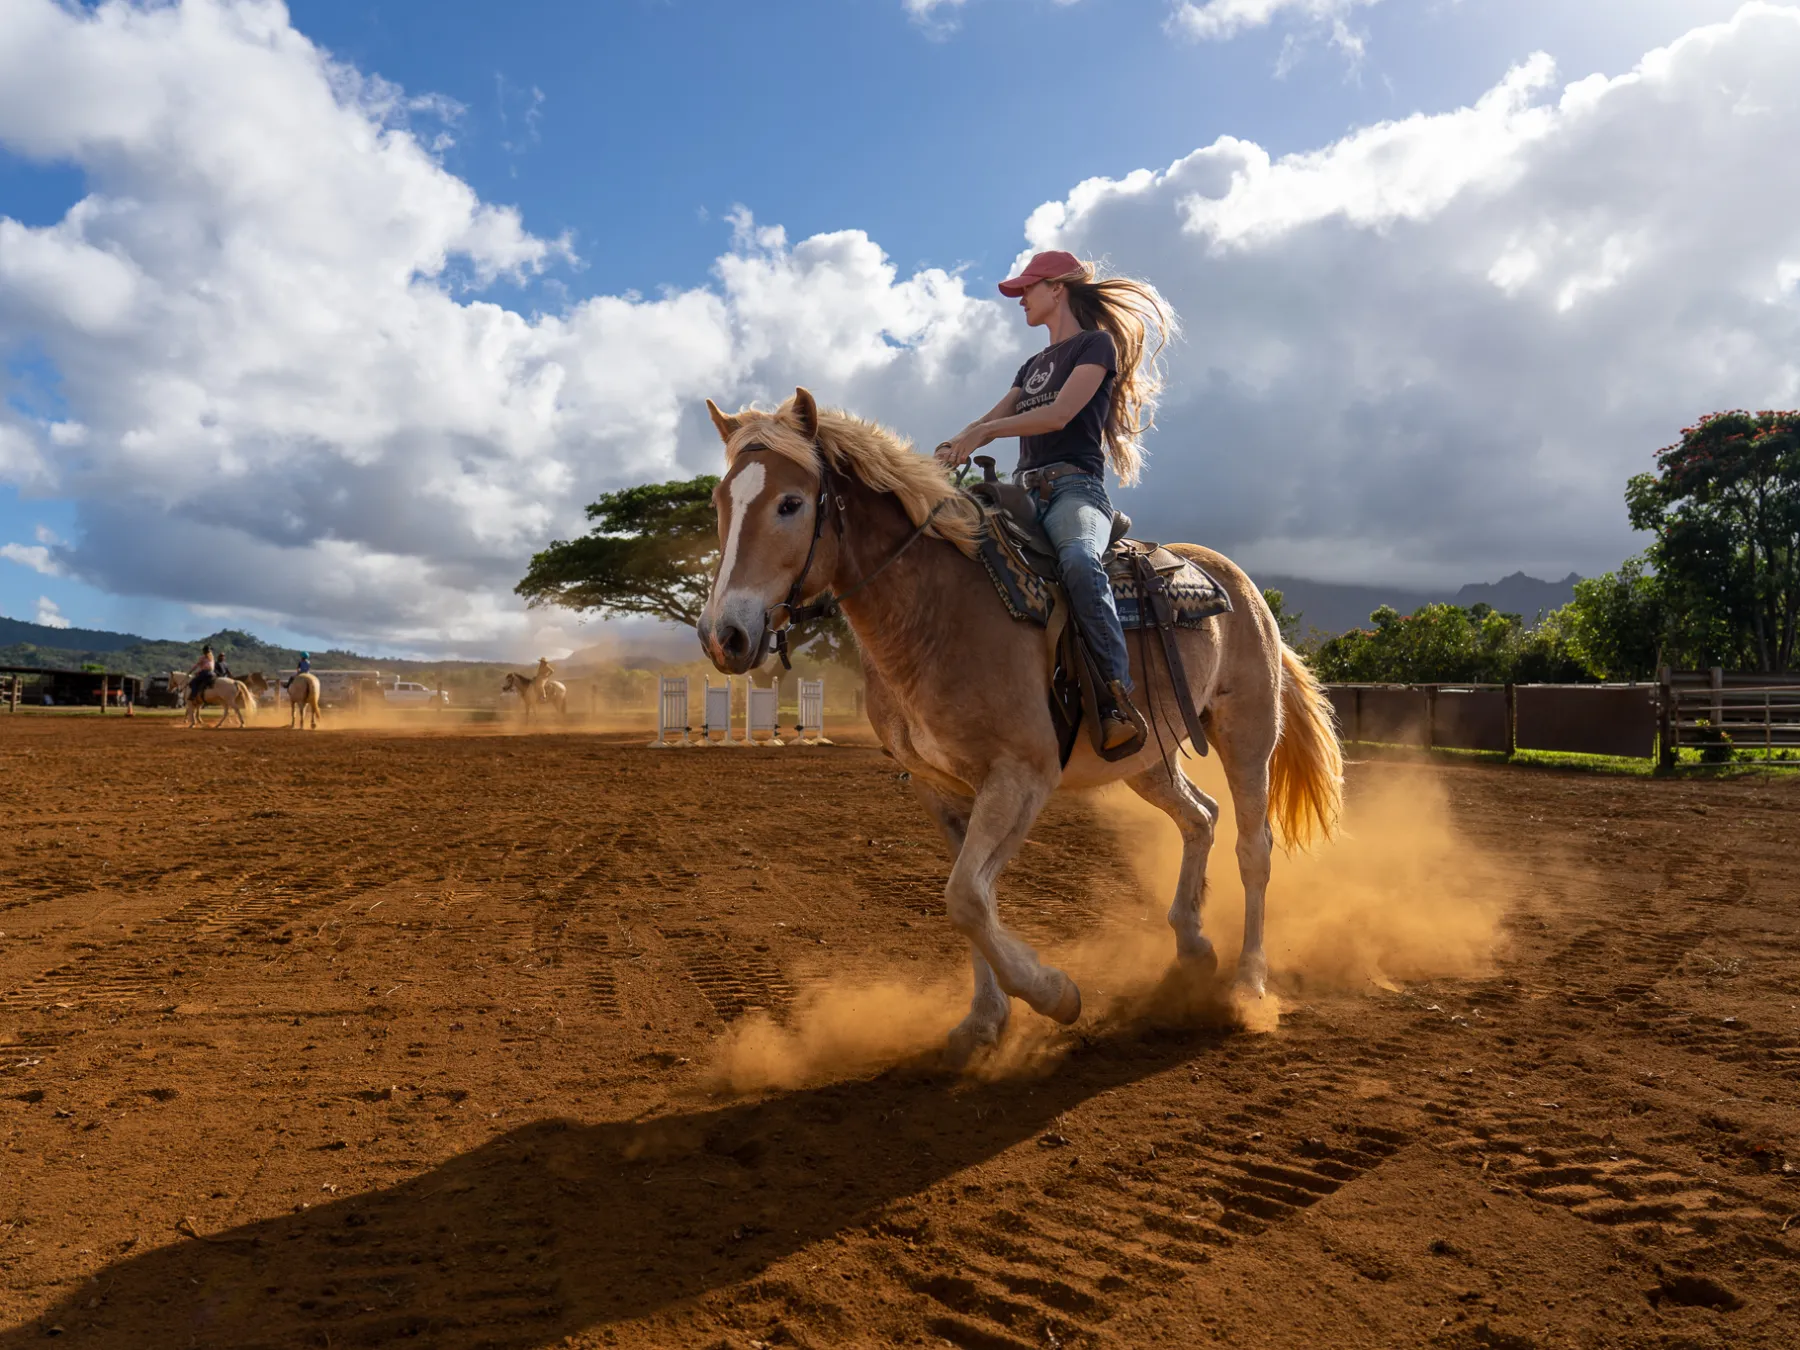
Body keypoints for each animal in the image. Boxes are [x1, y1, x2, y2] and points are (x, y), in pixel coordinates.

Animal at [697, 389, 1343, 1064]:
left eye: (791, 503)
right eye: (720, 503)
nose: (723, 636)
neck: (936, 610)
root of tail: (1240, 585)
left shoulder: (1022, 776)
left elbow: (965, 898)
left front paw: (1055, 994)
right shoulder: (942, 788)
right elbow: (972, 899)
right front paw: (984, 1020)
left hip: (1248, 737)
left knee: (1254, 848)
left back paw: (1249, 986)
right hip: (1149, 760)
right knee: (1201, 817)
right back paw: (1192, 947)